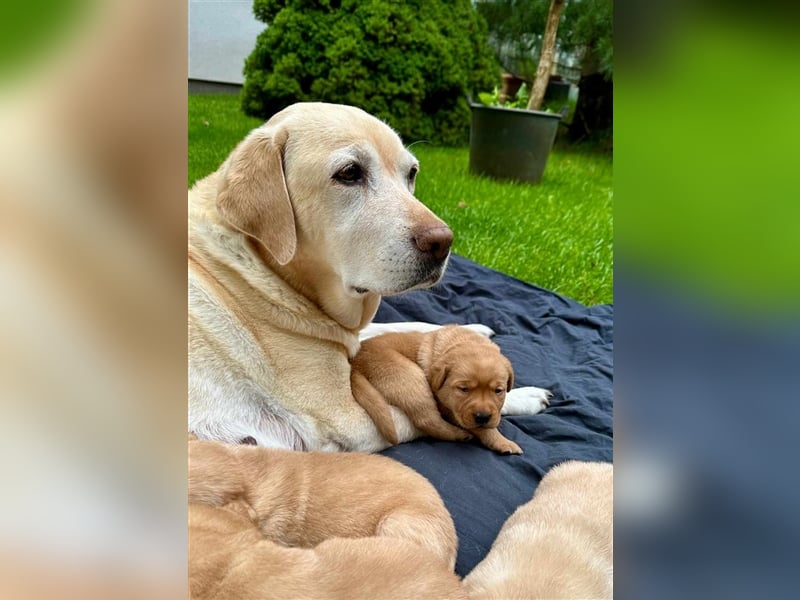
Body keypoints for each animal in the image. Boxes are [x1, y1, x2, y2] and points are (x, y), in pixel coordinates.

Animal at [350, 326, 552, 452]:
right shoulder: (451, 408)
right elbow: (482, 429)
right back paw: (459, 435)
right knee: (427, 420)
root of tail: (356, 365)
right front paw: (502, 442)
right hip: (409, 376)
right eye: (463, 389)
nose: (483, 417)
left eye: (498, 390)